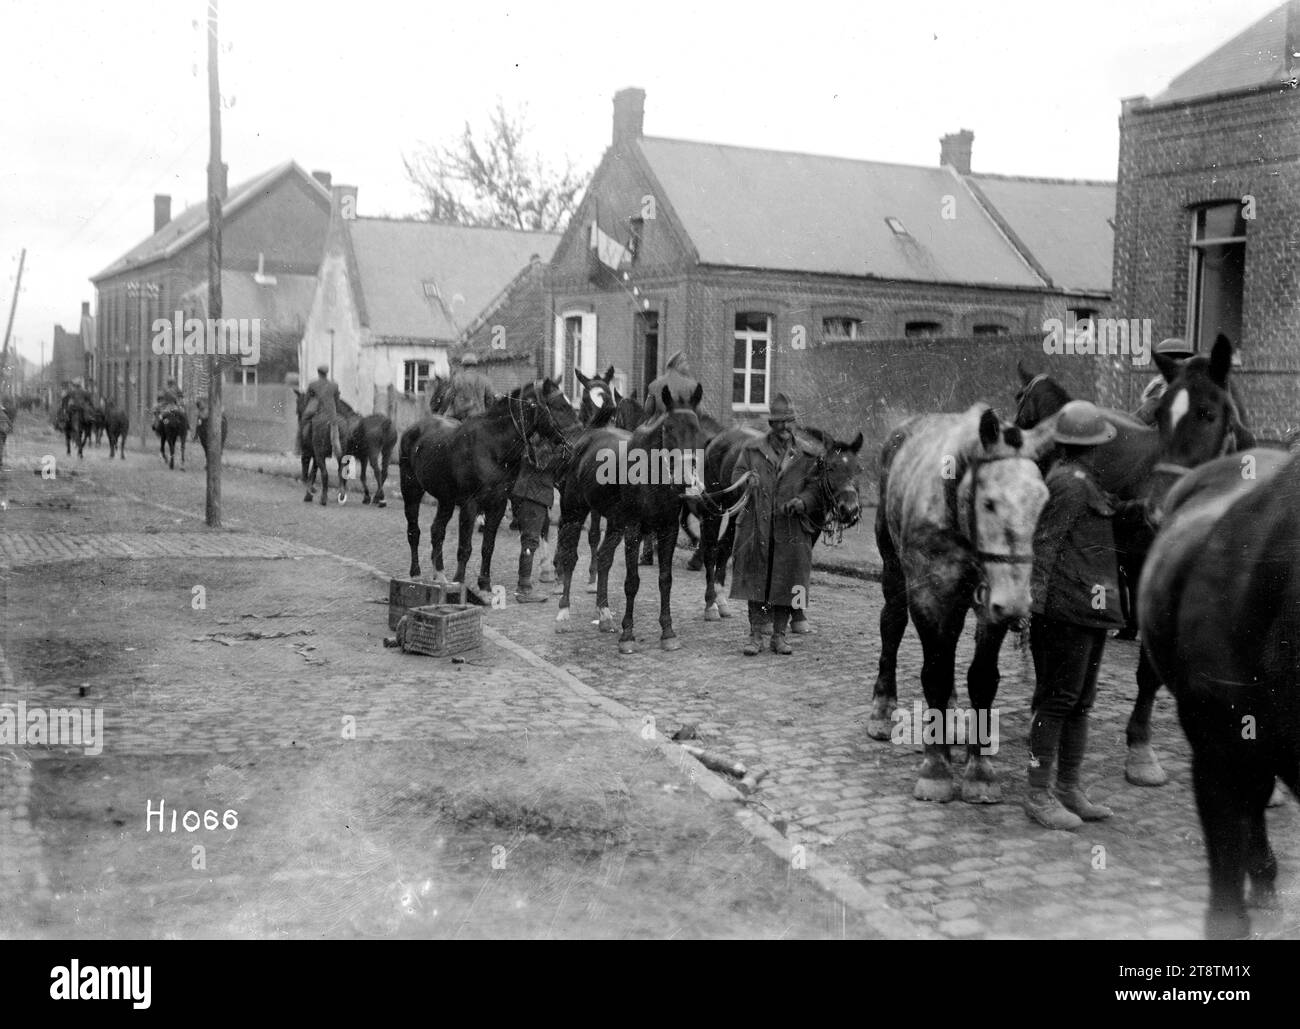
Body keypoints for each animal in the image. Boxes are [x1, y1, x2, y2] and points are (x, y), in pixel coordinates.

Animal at [397, 376, 577, 589]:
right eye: (560, 406)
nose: (576, 444)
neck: (492, 446)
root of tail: (414, 429)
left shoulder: (497, 505)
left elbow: (488, 546)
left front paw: (484, 582)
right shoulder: (470, 505)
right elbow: (465, 547)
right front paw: (460, 581)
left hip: (446, 500)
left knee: (437, 531)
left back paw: (440, 575)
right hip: (411, 490)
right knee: (414, 531)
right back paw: (416, 574)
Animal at [553, 376, 707, 652]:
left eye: (697, 429)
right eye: (669, 428)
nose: (687, 480)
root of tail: (588, 435)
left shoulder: (668, 529)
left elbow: (665, 579)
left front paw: (668, 632)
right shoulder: (634, 529)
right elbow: (632, 581)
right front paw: (628, 635)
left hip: (615, 522)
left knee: (603, 557)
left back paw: (604, 615)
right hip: (574, 512)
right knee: (570, 557)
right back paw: (563, 614)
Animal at [868, 402, 1050, 805]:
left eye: (1041, 503)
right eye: (990, 502)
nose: (1017, 604)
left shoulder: (990, 606)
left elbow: (981, 678)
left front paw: (979, 770)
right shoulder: (928, 595)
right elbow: (935, 673)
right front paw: (936, 768)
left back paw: (949, 718)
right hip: (893, 569)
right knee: (892, 624)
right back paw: (883, 708)